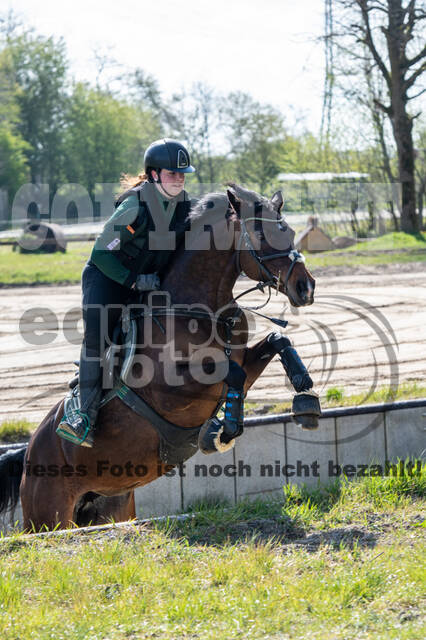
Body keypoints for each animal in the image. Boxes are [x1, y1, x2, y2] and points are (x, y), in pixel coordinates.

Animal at [0, 184, 316, 528]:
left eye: (292, 232)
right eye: (261, 234)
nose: (306, 287)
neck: (198, 308)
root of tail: (28, 452)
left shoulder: (239, 362)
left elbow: (275, 341)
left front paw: (306, 396)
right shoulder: (171, 392)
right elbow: (232, 372)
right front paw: (223, 431)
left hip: (112, 506)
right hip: (48, 514)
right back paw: (76, 424)